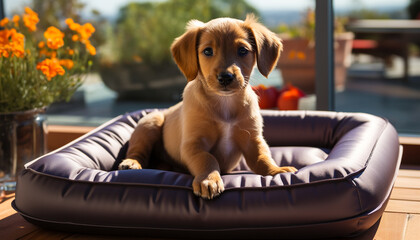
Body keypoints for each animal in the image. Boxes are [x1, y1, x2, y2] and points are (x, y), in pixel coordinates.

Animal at [118, 15, 298, 199]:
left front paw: (277, 170)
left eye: (242, 50)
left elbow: (263, 158)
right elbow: (207, 159)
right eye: (207, 51)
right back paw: (131, 163)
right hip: (150, 122)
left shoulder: (253, 140)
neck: (225, 103)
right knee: (137, 150)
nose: (225, 77)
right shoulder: (194, 145)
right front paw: (209, 180)